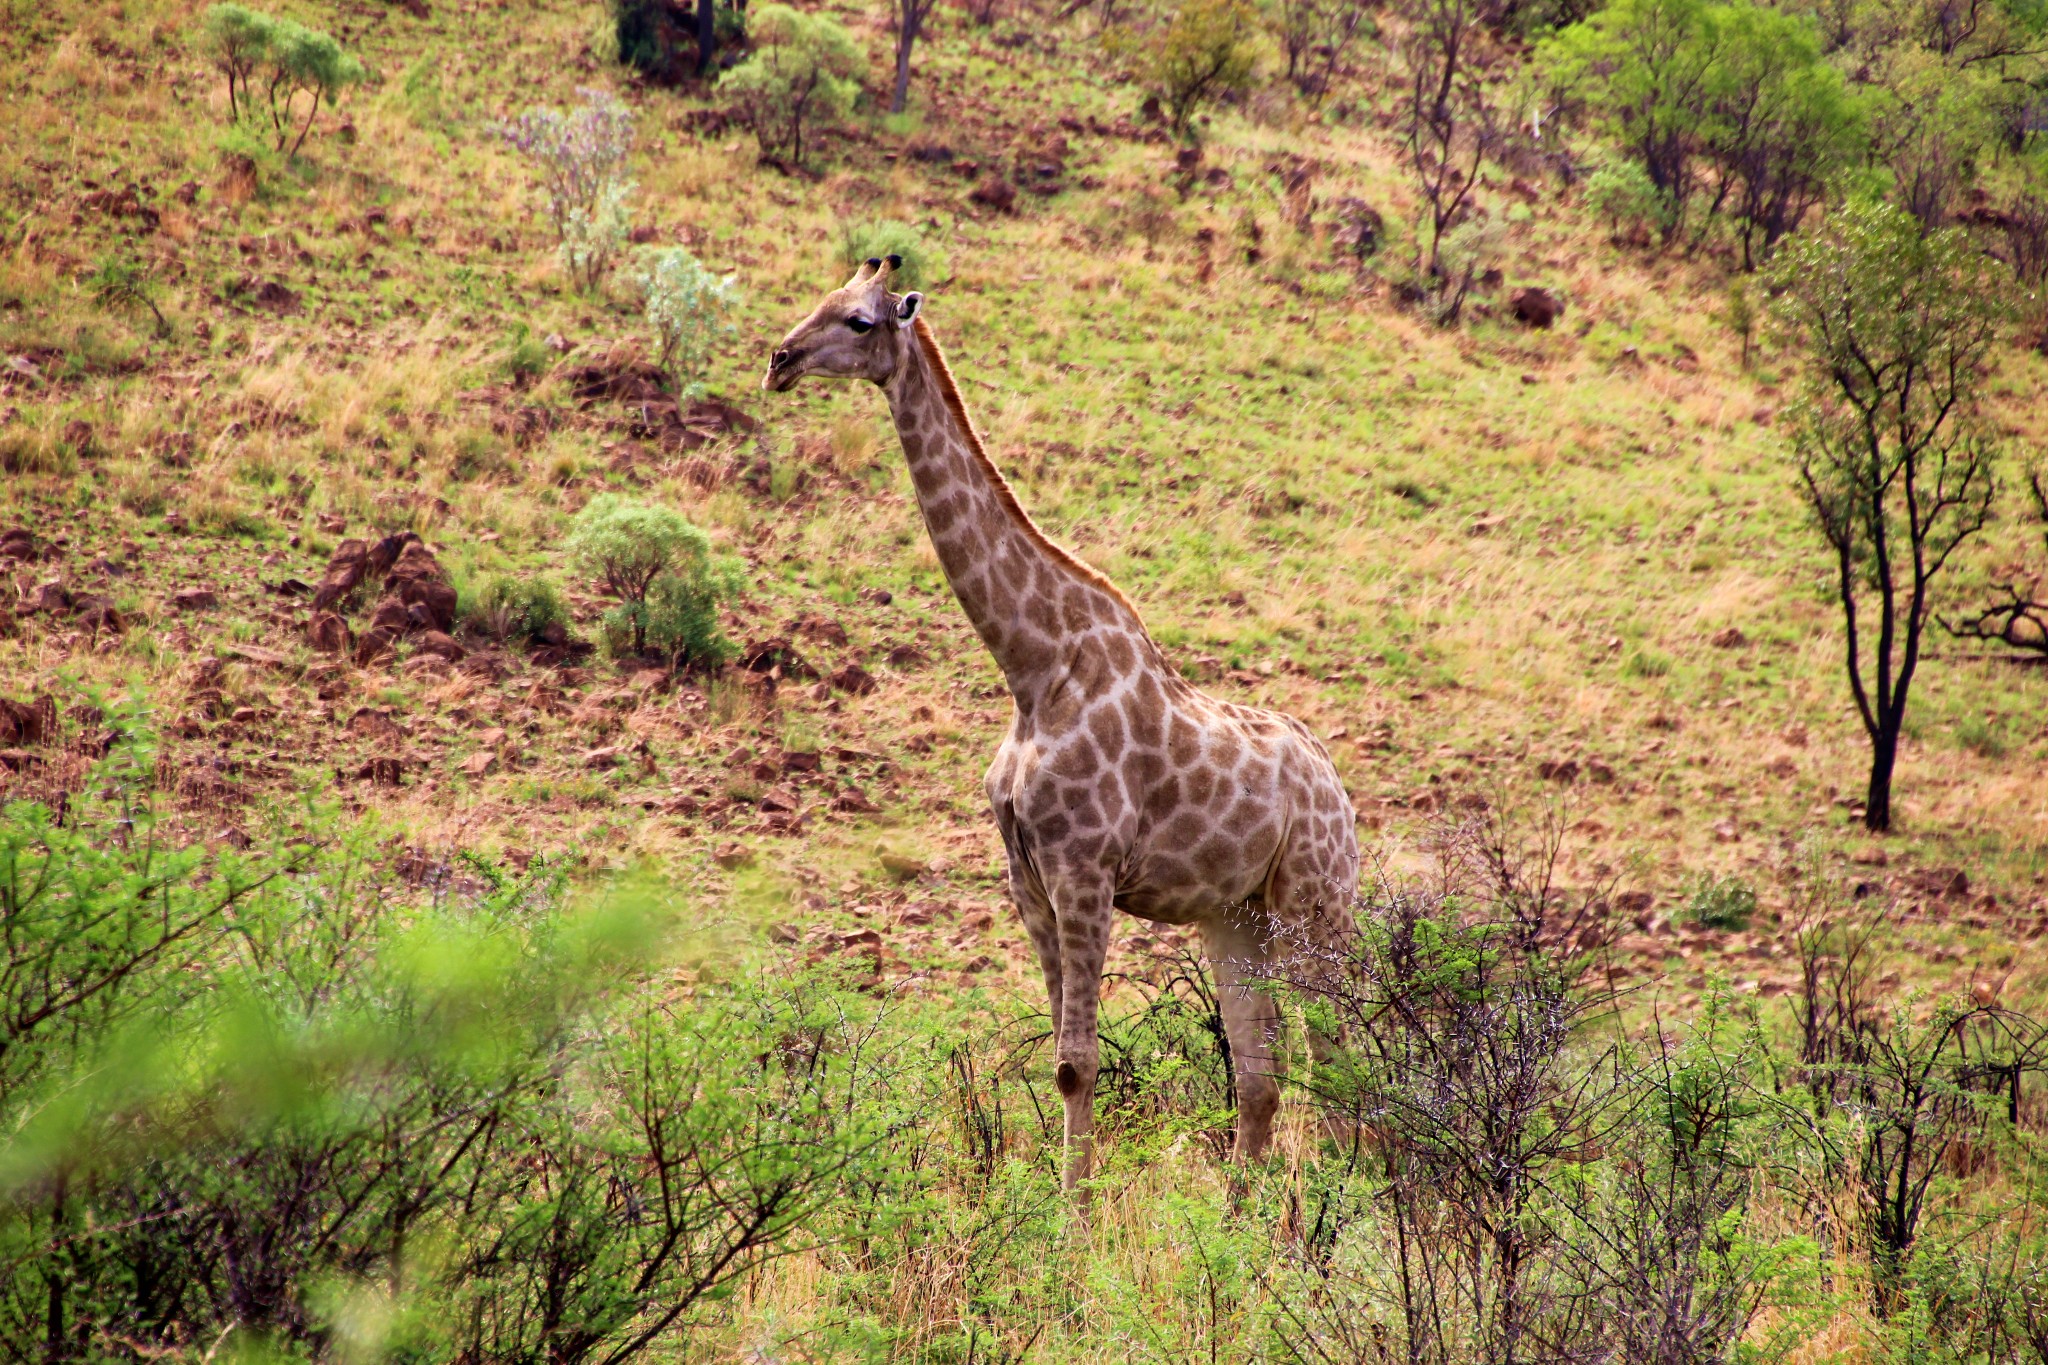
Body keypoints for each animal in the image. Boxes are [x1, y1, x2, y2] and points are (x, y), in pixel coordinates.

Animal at [770, 258, 1359, 1195]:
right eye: (821, 301)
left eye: (860, 321)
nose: (779, 360)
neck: (1034, 667)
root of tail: (1341, 795)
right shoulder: (1028, 879)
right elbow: (1061, 1059)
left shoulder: (1085, 870)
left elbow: (1080, 1062)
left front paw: (1070, 1224)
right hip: (1238, 917)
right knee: (1262, 1077)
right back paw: (1244, 1221)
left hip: (1315, 902)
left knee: (1336, 1059)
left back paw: (1343, 1213)